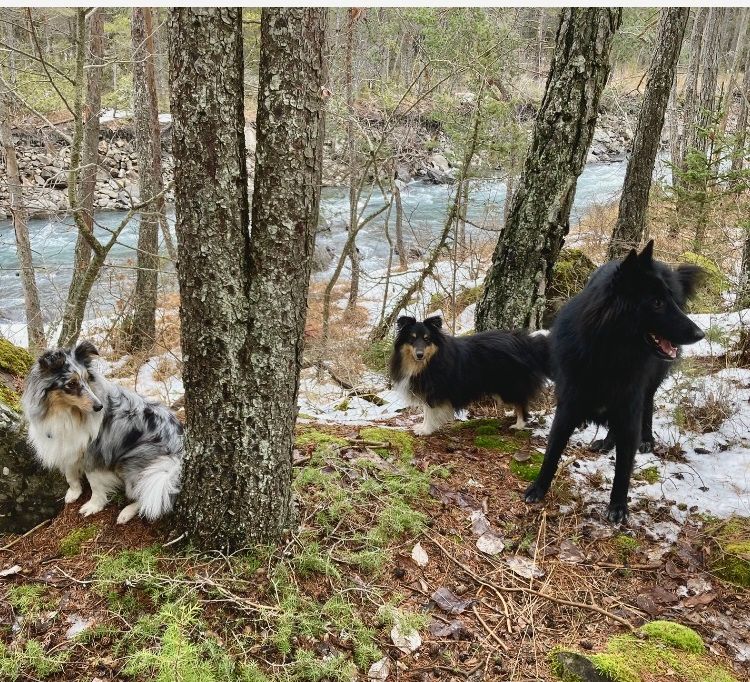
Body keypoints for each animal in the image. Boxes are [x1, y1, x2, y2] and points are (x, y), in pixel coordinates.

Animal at [23, 338, 184, 520]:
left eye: (87, 379)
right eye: (72, 383)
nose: (99, 406)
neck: (67, 412)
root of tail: (179, 451)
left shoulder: (95, 452)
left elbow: (95, 483)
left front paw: (94, 505)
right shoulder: (68, 447)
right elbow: (70, 474)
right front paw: (73, 493)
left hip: (139, 464)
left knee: (146, 495)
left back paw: (126, 512)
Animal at [390, 314, 548, 432]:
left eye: (427, 339)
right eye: (412, 338)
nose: (419, 355)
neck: (429, 361)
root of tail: (525, 342)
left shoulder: (435, 390)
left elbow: (429, 411)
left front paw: (425, 430)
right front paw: (423, 427)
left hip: (509, 384)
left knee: (521, 401)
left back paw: (519, 424)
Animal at [524, 239, 708, 520]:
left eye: (670, 300)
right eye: (656, 302)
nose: (700, 334)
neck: (608, 355)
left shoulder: (630, 403)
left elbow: (624, 466)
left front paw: (618, 506)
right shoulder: (568, 405)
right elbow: (552, 450)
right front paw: (538, 487)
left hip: (648, 384)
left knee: (648, 404)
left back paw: (646, 439)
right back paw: (609, 441)